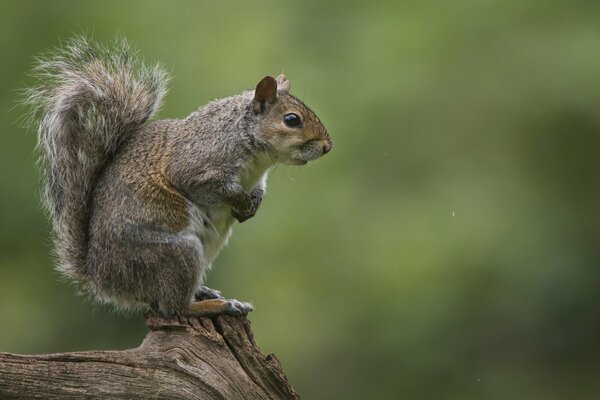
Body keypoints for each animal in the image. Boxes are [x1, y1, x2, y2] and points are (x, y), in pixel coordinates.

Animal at [24, 36, 332, 318]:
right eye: (291, 120)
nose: (327, 146)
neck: (255, 154)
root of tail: (104, 279)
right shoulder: (196, 164)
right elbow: (210, 187)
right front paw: (242, 201)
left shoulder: (257, 178)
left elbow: (258, 190)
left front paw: (253, 204)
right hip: (176, 254)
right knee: (173, 308)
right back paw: (216, 305)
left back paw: (205, 292)